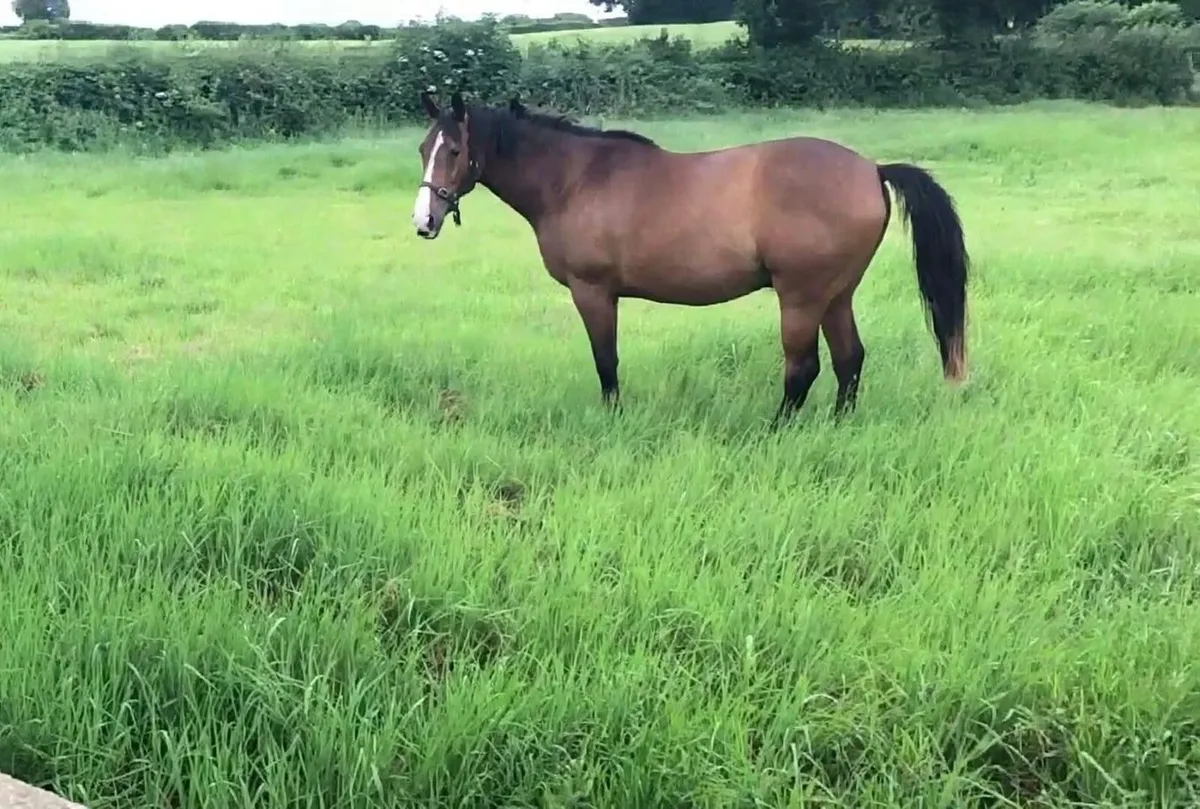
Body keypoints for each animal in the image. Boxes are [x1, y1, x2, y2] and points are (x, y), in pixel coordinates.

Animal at [410, 90, 969, 423]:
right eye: (423, 149)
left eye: (455, 151)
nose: (424, 221)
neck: (575, 179)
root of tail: (871, 169)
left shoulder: (593, 292)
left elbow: (605, 359)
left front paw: (613, 417)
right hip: (837, 295)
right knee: (849, 359)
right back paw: (838, 423)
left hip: (802, 297)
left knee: (803, 367)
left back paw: (777, 430)